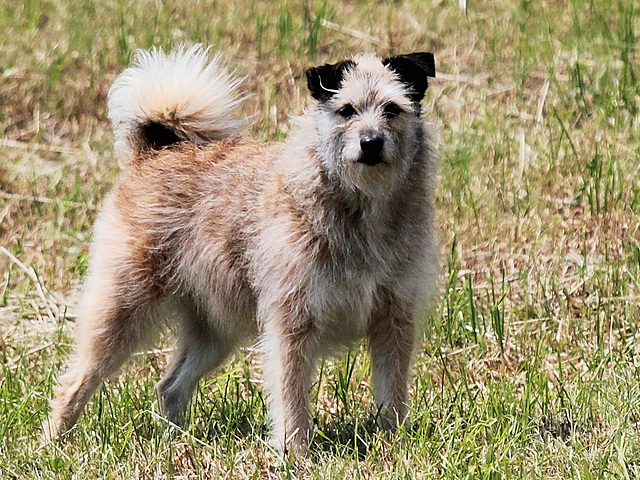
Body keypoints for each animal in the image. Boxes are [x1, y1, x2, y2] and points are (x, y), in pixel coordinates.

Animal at [42, 43, 438, 452]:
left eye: (392, 109)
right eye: (347, 110)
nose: (370, 143)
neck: (361, 206)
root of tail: (155, 151)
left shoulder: (394, 320)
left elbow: (392, 395)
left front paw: (392, 445)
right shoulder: (292, 326)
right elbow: (291, 399)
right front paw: (295, 455)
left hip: (215, 331)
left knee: (170, 385)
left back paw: (177, 444)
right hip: (119, 313)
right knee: (75, 383)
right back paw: (53, 444)